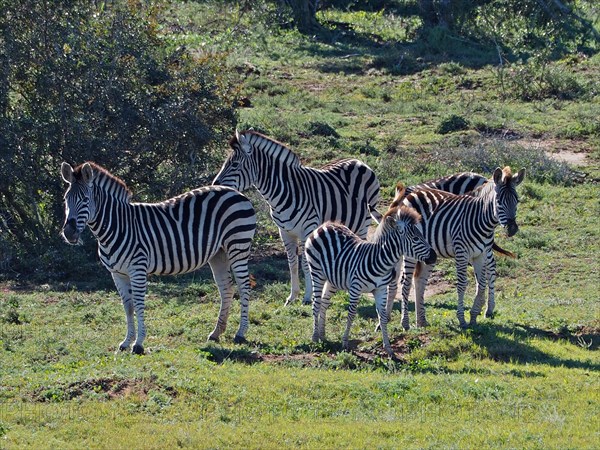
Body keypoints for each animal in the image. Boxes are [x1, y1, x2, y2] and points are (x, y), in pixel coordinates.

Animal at [62, 162, 256, 356]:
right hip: (218, 254)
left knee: (243, 286)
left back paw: (240, 333)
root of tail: (233, 191)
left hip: (237, 245)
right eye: (65, 200)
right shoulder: (117, 273)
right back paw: (216, 333)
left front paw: (138, 344)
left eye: (85, 200)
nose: (69, 233)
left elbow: (139, 304)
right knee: (226, 288)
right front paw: (126, 342)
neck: (117, 226)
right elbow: (128, 306)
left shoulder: (138, 269)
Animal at [212, 129, 380, 306]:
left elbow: (305, 264)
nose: (215, 184)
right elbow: (292, 264)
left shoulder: (307, 230)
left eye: (234, 165)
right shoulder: (284, 232)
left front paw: (307, 297)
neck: (284, 192)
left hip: (364, 221)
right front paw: (292, 296)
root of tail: (359, 161)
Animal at [304, 206, 436, 356]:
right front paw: (345, 342)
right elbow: (351, 314)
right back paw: (315, 337)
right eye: (415, 238)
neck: (379, 261)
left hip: (333, 279)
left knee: (324, 303)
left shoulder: (381, 290)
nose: (434, 256)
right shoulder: (355, 288)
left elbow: (383, 317)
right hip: (317, 272)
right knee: (316, 304)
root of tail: (325, 225)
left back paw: (322, 335)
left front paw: (388, 348)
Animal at [394, 167, 524, 328]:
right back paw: (405, 323)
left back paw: (422, 321)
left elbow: (481, 284)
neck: (481, 219)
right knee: (405, 283)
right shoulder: (462, 252)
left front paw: (473, 317)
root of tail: (414, 193)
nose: (512, 229)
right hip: (411, 250)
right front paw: (462, 319)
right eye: (499, 201)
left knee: (420, 279)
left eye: (517, 200)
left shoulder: (480, 254)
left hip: (429, 252)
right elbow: (462, 284)